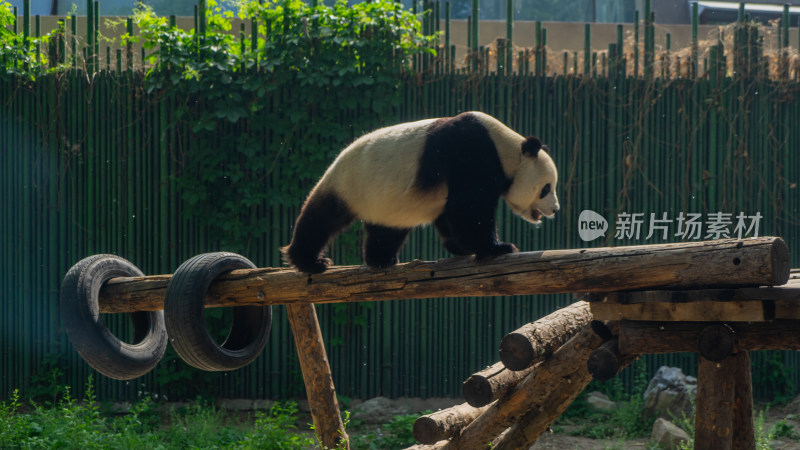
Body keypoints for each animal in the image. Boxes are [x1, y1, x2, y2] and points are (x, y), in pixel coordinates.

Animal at [284, 112, 560, 274]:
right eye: (546, 188)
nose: (555, 209)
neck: (508, 150)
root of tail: (336, 160)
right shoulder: (472, 153)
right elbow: (469, 209)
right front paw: (498, 247)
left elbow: (451, 213)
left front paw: (462, 247)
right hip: (349, 184)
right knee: (321, 219)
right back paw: (310, 261)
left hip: (383, 201)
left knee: (386, 230)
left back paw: (380, 259)